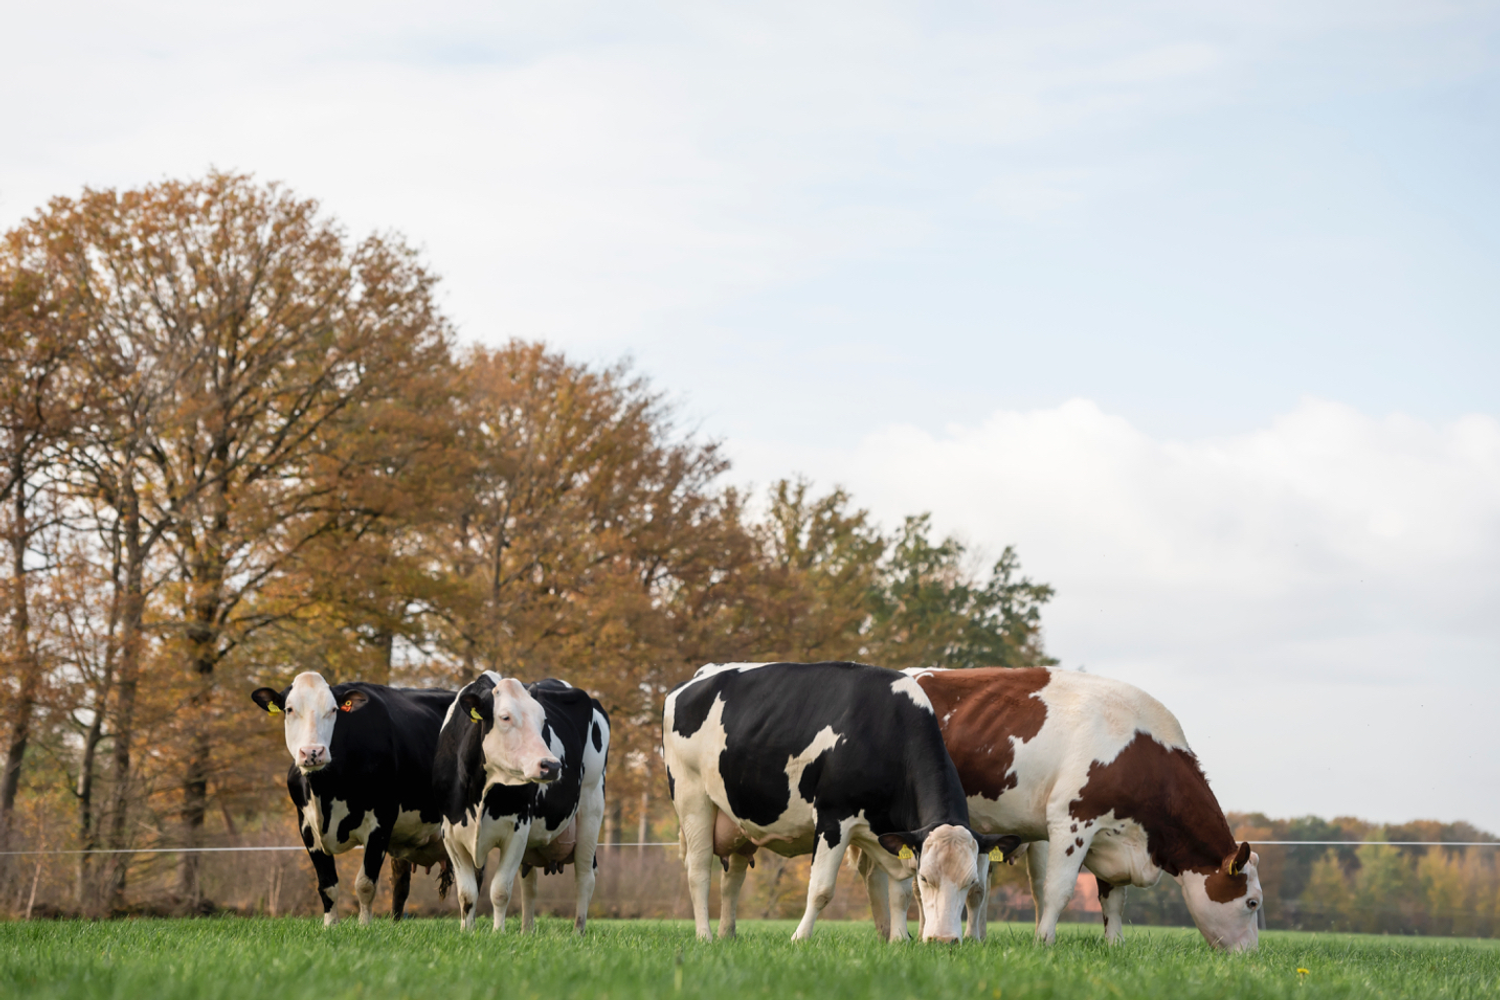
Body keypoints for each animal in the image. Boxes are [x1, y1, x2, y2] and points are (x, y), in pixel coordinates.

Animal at [250, 672, 453, 926]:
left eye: (333, 710)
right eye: (289, 709)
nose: (312, 752)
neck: (326, 792)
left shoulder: (381, 821)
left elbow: (365, 884)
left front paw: (364, 926)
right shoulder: (307, 828)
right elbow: (327, 886)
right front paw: (330, 926)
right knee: (401, 883)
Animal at [433, 672, 610, 934]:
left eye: (543, 719)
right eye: (505, 717)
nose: (552, 765)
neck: (478, 793)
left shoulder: (517, 830)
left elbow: (500, 890)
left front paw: (498, 933)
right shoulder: (451, 833)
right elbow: (467, 894)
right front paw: (467, 932)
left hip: (592, 804)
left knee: (584, 878)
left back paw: (578, 932)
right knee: (530, 884)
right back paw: (527, 931)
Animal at [663, 660, 1019, 943]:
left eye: (971, 882)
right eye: (926, 878)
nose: (944, 940)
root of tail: (698, 676)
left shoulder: (890, 833)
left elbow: (900, 892)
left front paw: (899, 940)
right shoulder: (833, 817)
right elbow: (821, 889)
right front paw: (800, 938)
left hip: (738, 819)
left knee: (732, 879)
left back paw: (728, 935)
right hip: (692, 798)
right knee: (698, 871)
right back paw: (705, 936)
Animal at [860, 667, 1262, 951]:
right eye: (1253, 902)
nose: (1251, 956)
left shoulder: (1113, 836)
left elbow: (1114, 899)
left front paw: (1115, 946)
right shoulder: (1073, 821)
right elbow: (1058, 889)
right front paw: (1044, 942)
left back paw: (890, 933)